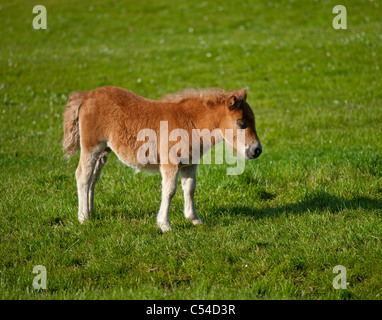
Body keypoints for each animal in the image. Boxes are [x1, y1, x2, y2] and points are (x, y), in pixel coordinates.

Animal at [64, 86, 264, 231]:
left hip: (104, 150)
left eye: (253, 120)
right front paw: (164, 225)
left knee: (93, 178)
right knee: (83, 176)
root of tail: (86, 95)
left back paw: (91, 211)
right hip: (91, 147)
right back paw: (83, 218)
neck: (190, 123)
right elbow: (169, 191)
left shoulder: (190, 164)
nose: (257, 150)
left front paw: (194, 219)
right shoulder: (170, 163)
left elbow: (190, 188)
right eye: (240, 123)